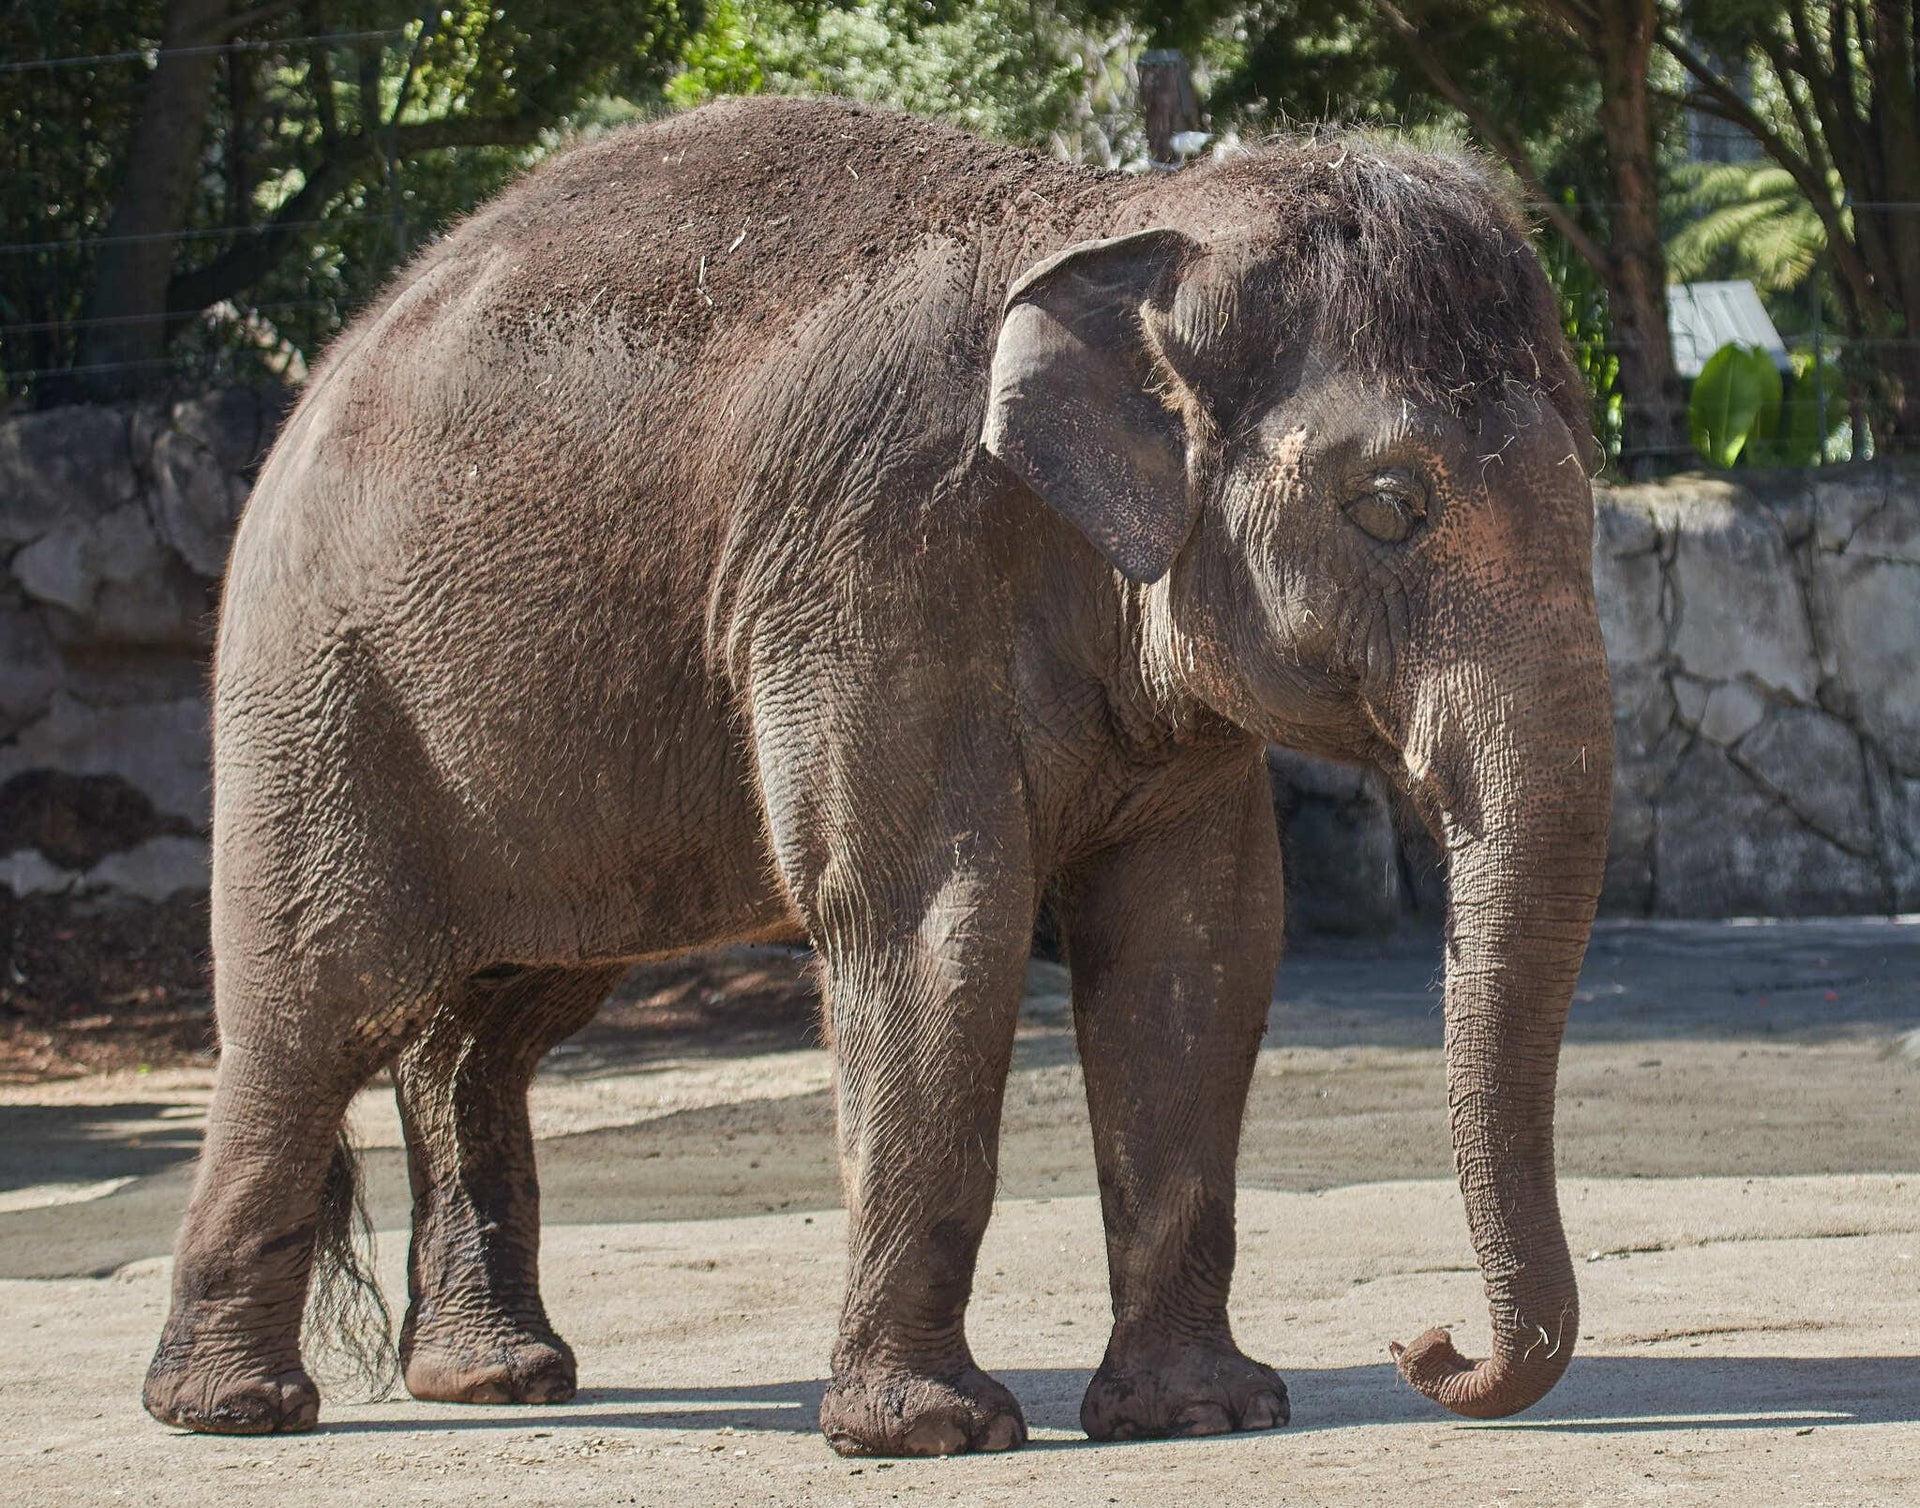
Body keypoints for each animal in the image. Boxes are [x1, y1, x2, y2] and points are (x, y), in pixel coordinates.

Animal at [149, 97, 1612, 1459]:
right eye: (1390, 504)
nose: (1428, 1344)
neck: (1122, 216)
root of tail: (324, 373)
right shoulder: (872, 561)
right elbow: (931, 922)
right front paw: (930, 1432)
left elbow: (1200, 942)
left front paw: (1204, 1415)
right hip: (321, 692)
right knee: (317, 1001)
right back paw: (231, 1410)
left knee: (493, 1021)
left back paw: (495, 1377)